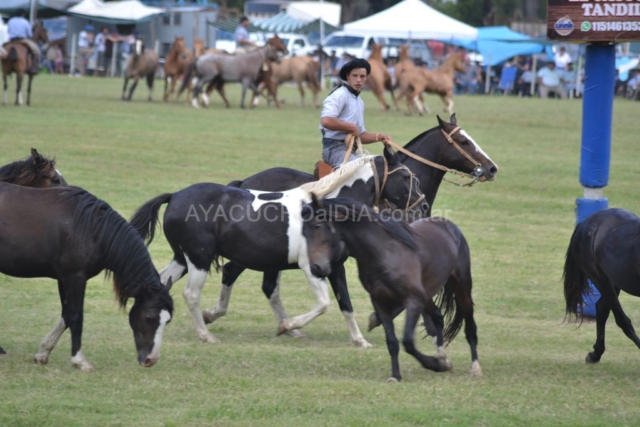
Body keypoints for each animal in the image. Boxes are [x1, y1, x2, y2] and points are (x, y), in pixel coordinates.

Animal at [0, 183, 174, 369]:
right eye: (149, 318)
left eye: (167, 321)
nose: (151, 359)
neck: (92, 229)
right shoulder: (75, 278)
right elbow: (76, 317)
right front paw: (79, 361)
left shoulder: (64, 279)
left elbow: (66, 316)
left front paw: (43, 353)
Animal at [130, 153, 427, 345]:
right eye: (405, 176)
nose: (423, 206)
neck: (327, 208)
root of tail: (176, 196)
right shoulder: (312, 267)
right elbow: (324, 303)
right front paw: (288, 326)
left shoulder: (335, 267)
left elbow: (345, 302)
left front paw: (359, 340)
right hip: (199, 259)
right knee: (192, 294)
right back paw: (206, 334)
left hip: (183, 258)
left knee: (162, 281)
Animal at [301, 196, 481, 382]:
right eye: (303, 232)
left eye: (317, 225)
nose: (316, 268)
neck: (384, 253)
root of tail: (450, 226)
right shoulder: (380, 301)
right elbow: (392, 342)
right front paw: (396, 375)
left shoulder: (413, 301)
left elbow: (407, 341)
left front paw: (437, 366)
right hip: (427, 296)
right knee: (438, 316)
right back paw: (441, 355)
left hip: (462, 287)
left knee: (470, 327)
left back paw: (475, 368)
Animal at [563, 208, 640, 364]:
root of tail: (585, 223)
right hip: (600, 279)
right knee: (622, 320)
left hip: (614, 282)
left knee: (602, 308)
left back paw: (595, 354)